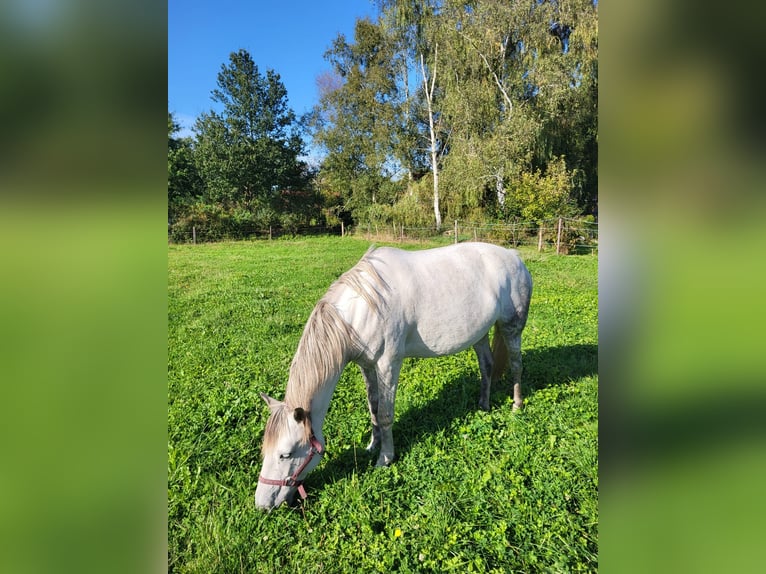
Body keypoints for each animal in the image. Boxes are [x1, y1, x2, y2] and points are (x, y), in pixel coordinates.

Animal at [255, 241, 532, 510]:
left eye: (286, 454)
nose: (262, 505)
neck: (363, 308)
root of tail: (514, 256)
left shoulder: (388, 364)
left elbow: (386, 414)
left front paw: (385, 458)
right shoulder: (367, 366)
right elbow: (374, 408)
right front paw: (372, 446)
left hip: (512, 327)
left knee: (517, 366)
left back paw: (517, 405)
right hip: (480, 334)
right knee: (486, 366)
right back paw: (483, 405)